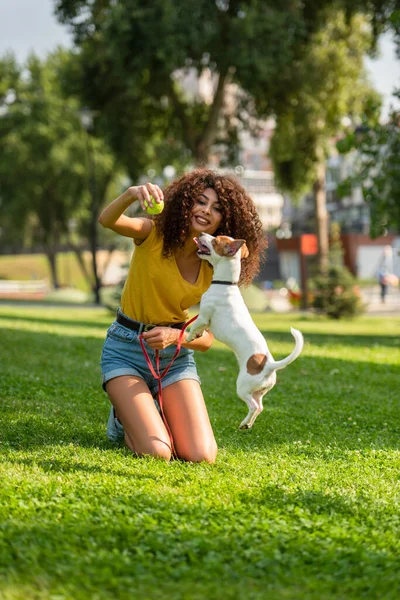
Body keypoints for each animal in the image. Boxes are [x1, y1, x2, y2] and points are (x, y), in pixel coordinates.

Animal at [187, 232, 304, 428]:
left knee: (254, 406)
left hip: (242, 387)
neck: (225, 283)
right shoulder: (205, 321)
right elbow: (200, 329)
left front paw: (188, 337)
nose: (202, 233)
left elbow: (194, 325)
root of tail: (269, 365)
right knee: (260, 406)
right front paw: (198, 335)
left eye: (215, 240)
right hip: (259, 391)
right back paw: (247, 423)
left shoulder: (203, 316)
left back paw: (244, 422)